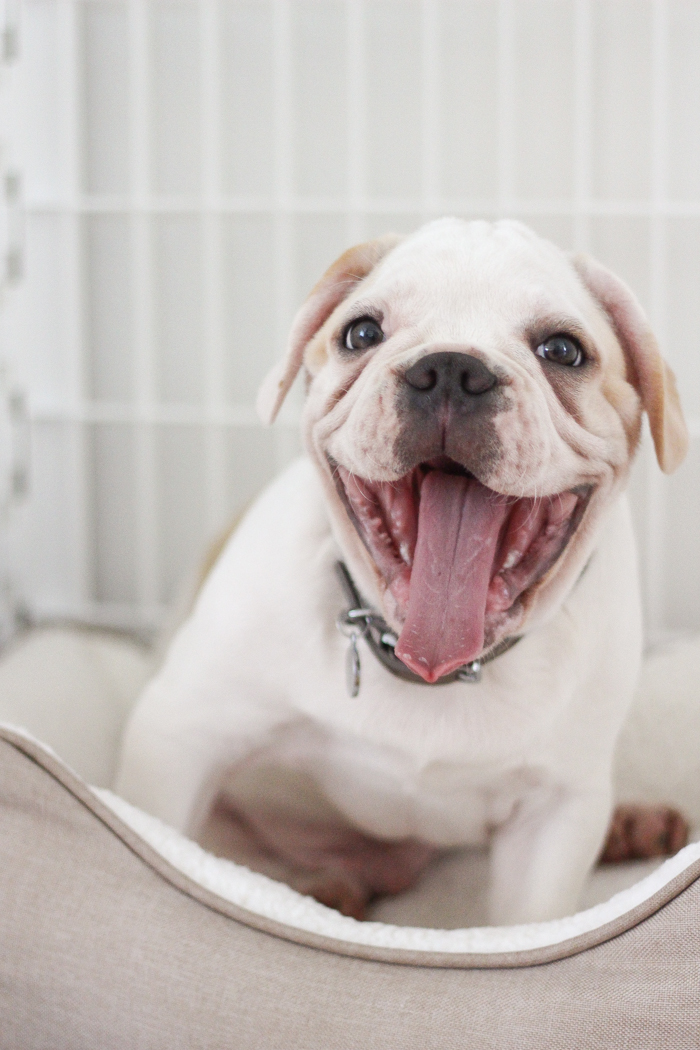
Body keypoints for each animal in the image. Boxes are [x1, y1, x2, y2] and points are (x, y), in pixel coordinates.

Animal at [116, 217, 688, 923]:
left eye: (563, 350)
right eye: (361, 333)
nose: (452, 368)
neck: (431, 670)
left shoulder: (557, 810)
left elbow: (524, 921)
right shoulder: (180, 733)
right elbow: (164, 838)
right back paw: (326, 889)